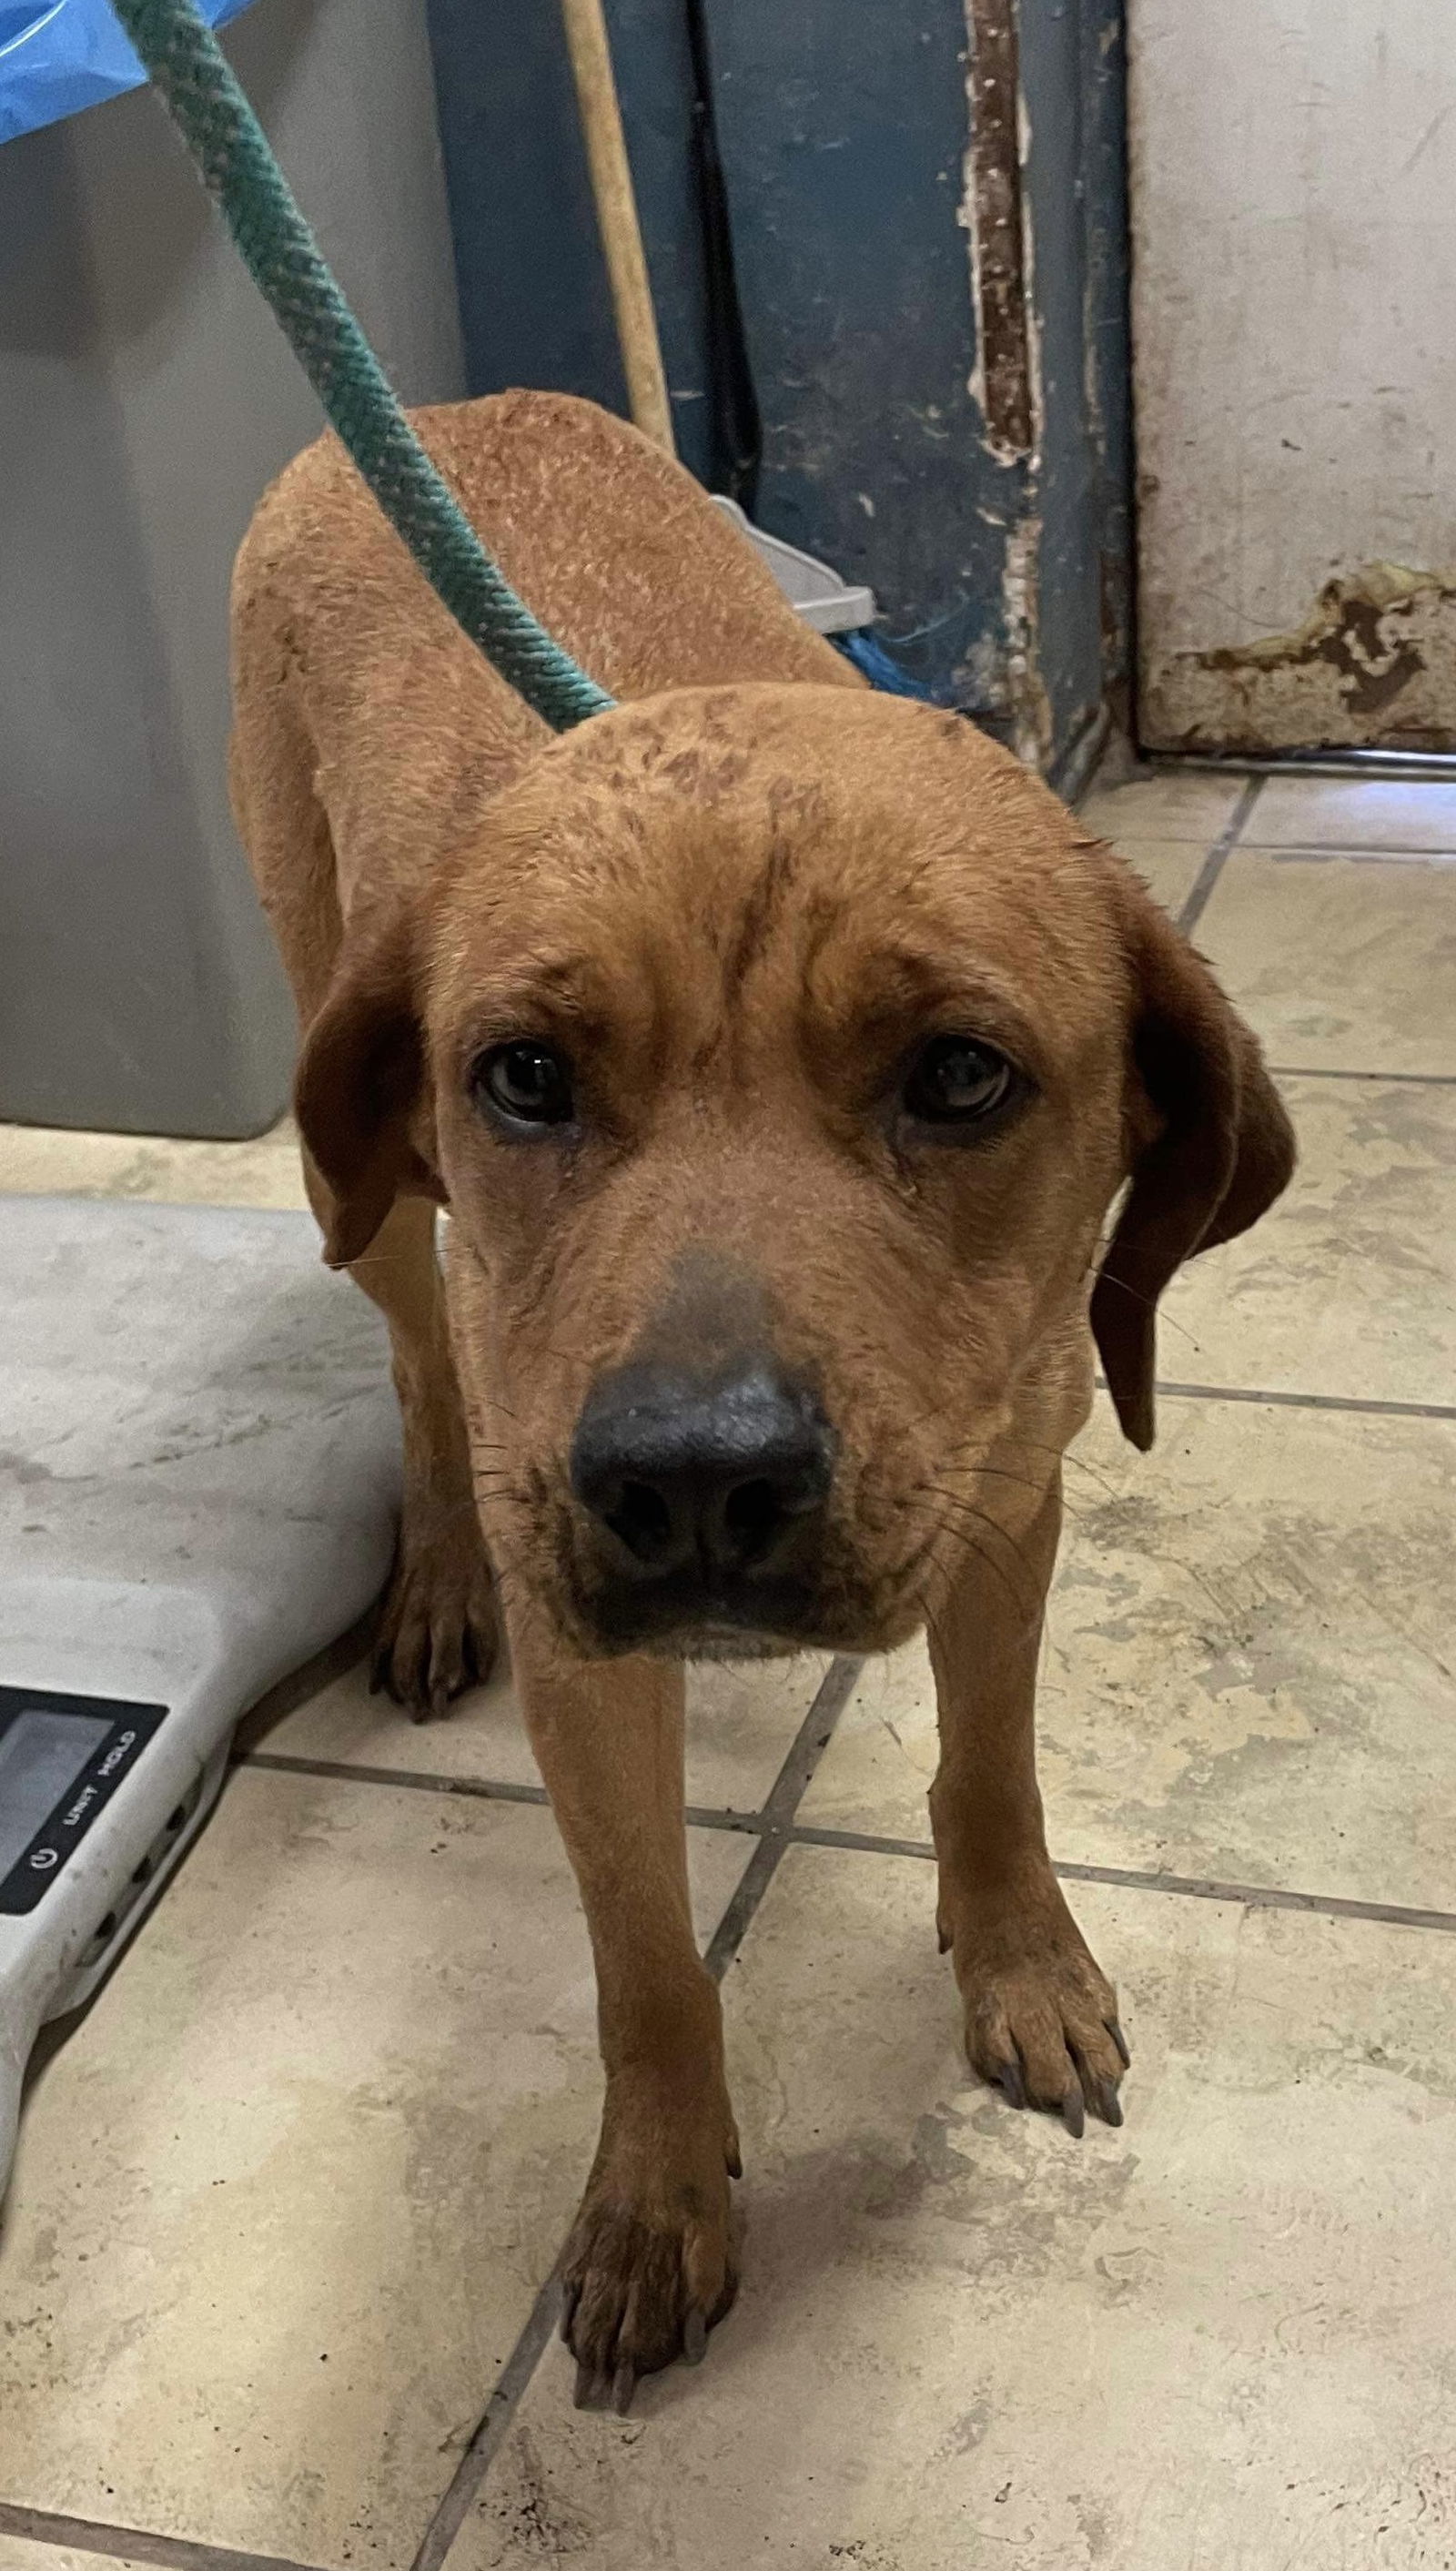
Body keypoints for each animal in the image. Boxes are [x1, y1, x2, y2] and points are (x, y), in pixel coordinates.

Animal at [231, 385, 1301, 2406]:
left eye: (959, 1073)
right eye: (524, 1073)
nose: (692, 1484)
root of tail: (442, 403)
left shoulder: (1008, 1497)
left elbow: (991, 1762)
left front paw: (1016, 1959)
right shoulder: (585, 1644)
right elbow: (644, 1953)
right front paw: (658, 2190)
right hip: (370, 1183)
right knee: (416, 1370)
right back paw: (431, 1580)